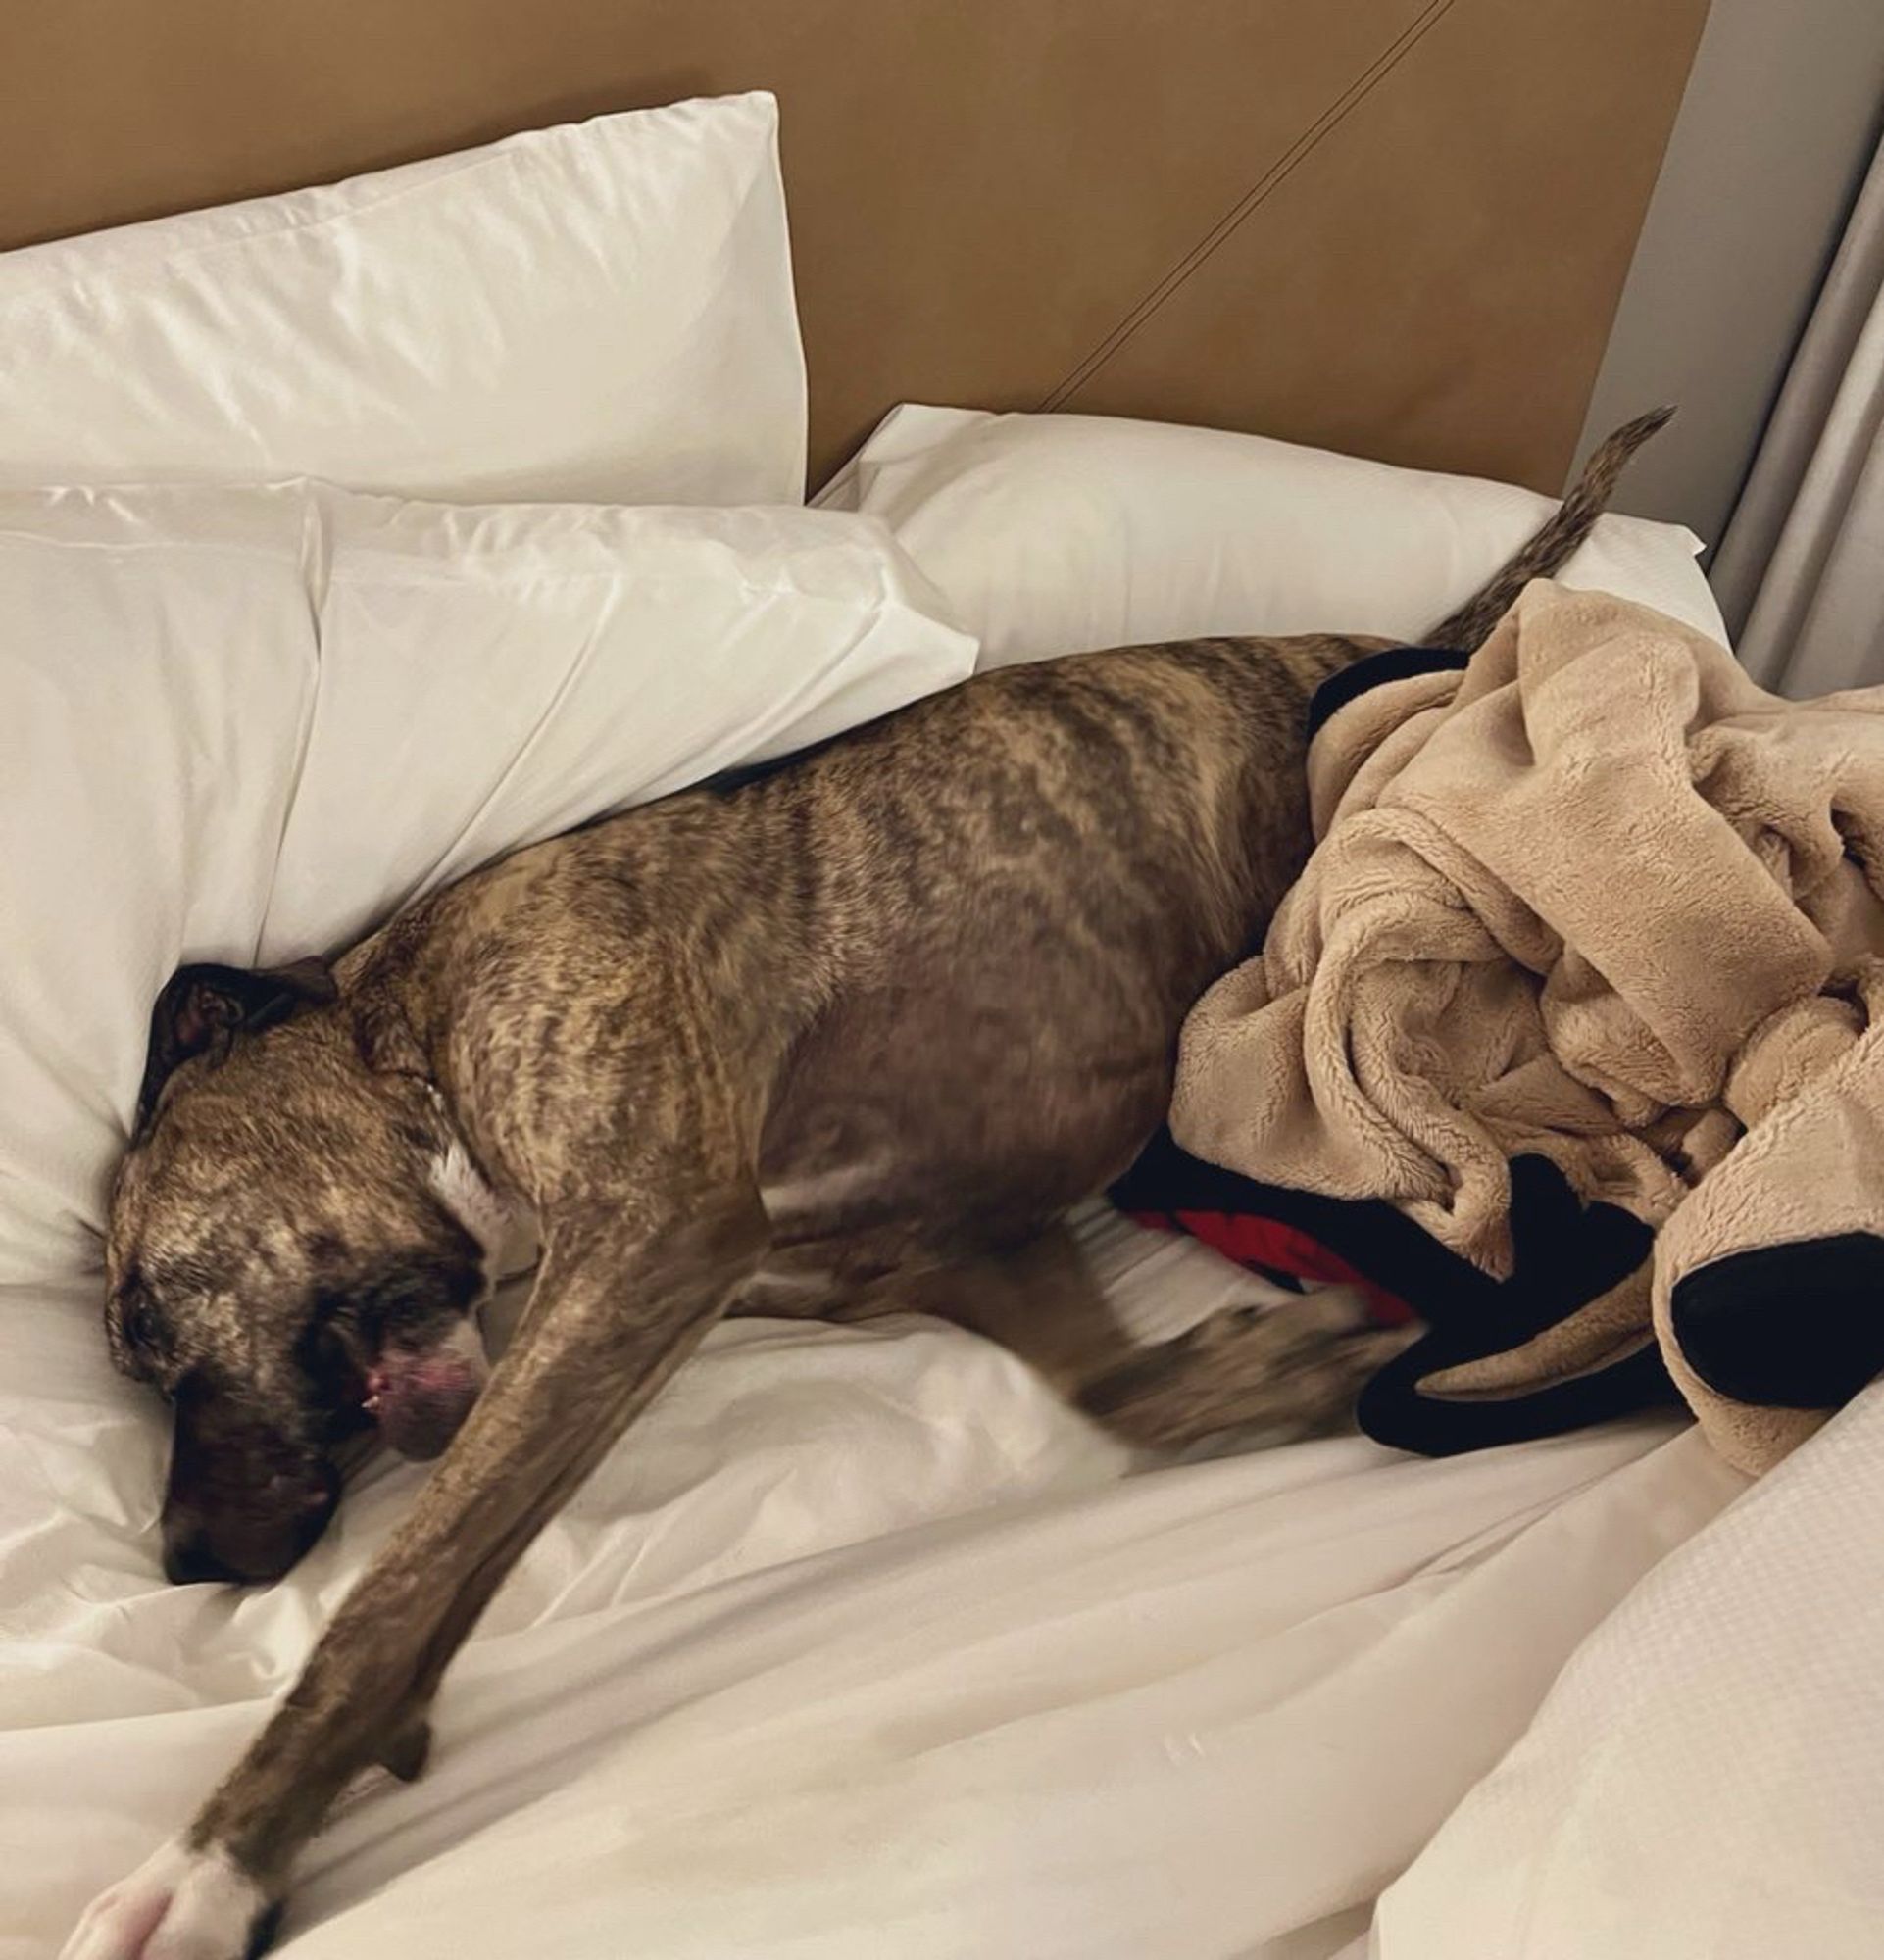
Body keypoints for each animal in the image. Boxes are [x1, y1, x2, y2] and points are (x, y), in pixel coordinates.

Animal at [66, 406, 1670, 1952]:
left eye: (143, 1321)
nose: (188, 1561)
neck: (403, 1034)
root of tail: (1433, 646)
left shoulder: (648, 1242)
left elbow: (402, 1583)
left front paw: (207, 1870)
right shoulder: (959, 1251)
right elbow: (1119, 1396)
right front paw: (1271, 1371)